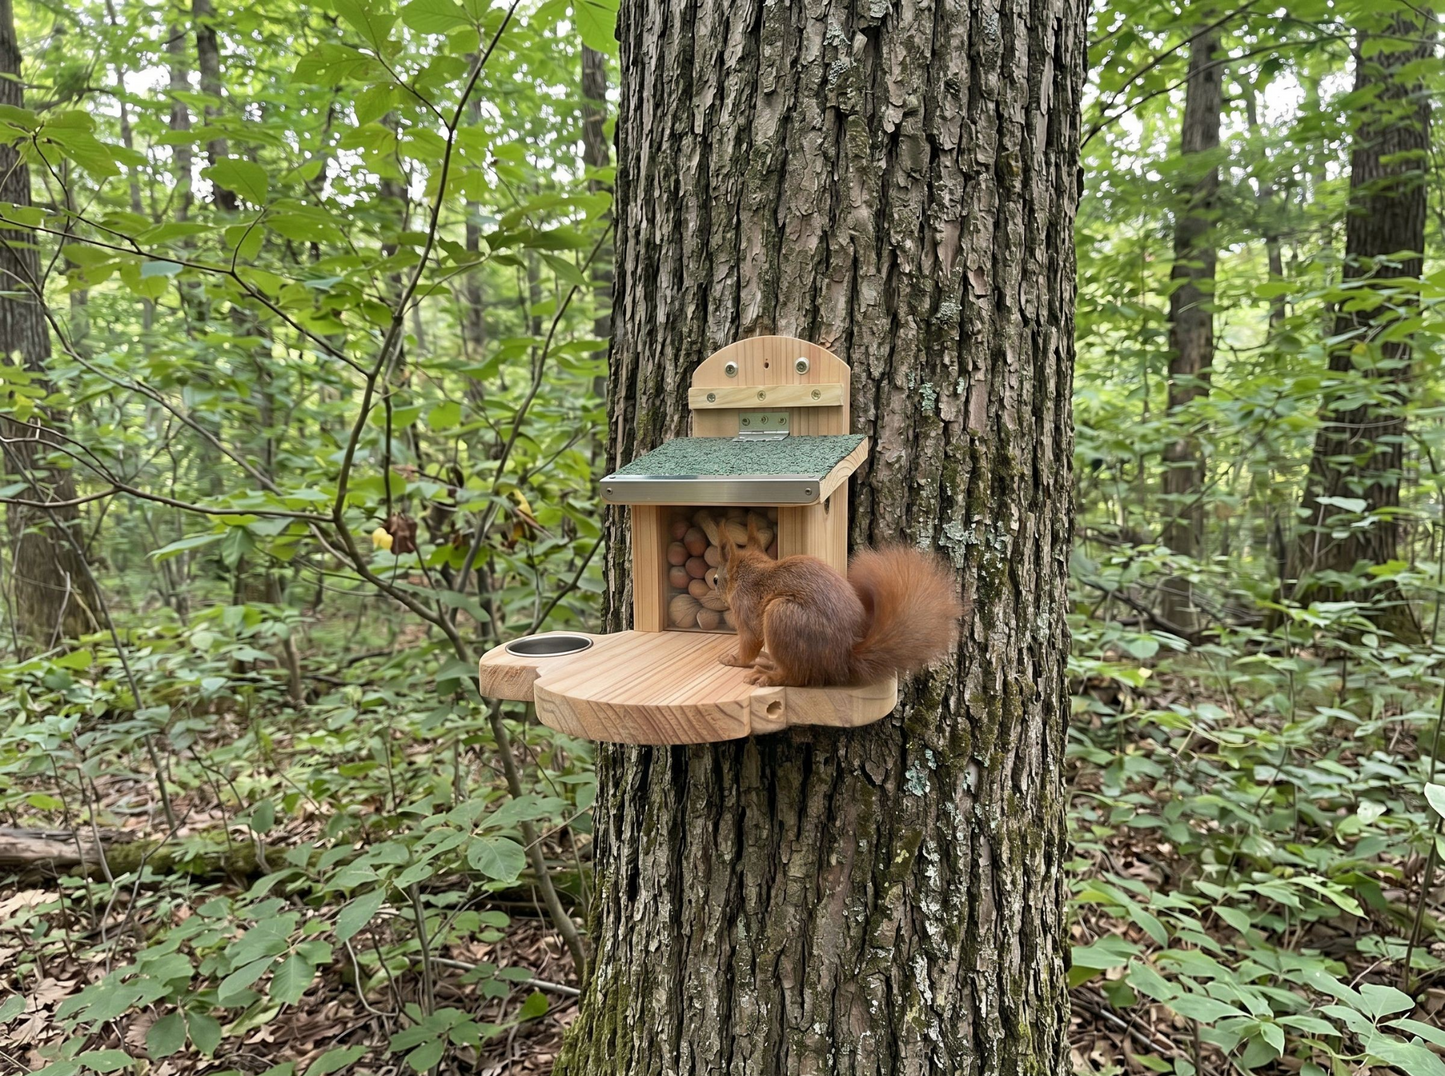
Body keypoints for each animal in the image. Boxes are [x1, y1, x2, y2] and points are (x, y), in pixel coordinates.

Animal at [715, 518, 965, 687]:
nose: (717, 595)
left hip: (782, 615)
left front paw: (735, 659)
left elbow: (750, 641)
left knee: (796, 676)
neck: (749, 571)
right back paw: (768, 663)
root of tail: (842, 659)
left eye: (715, 579)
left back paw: (768, 675)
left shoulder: (745, 607)